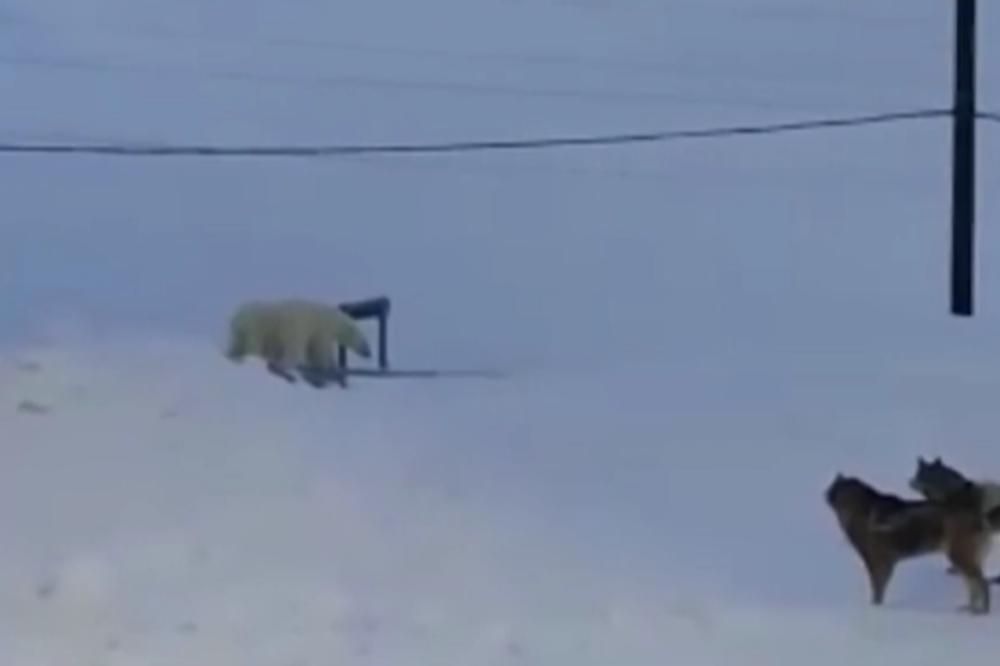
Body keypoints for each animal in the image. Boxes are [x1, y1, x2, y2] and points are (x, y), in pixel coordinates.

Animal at [223, 298, 372, 386]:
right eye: (365, 341)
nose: (369, 353)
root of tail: (238, 318)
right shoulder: (318, 330)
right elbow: (320, 353)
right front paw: (331, 372)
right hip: (259, 329)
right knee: (286, 353)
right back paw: (285, 372)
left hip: (241, 334)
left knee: (236, 347)